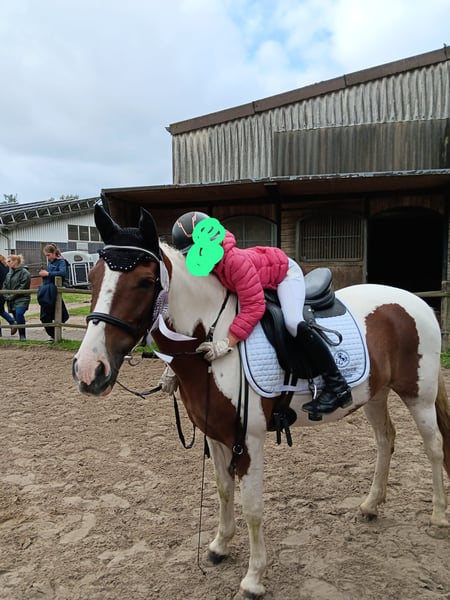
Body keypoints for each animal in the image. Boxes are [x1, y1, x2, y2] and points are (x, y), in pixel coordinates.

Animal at [73, 204, 450, 599]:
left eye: (145, 281)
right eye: (94, 276)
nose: (89, 370)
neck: (211, 343)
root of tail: (416, 301)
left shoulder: (248, 441)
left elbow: (252, 507)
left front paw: (254, 578)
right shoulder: (215, 435)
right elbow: (223, 491)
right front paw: (219, 546)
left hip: (418, 395)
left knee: (433, 446)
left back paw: (439, 517)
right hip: (375, 394)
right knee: (385, 440)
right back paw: (370, 506)